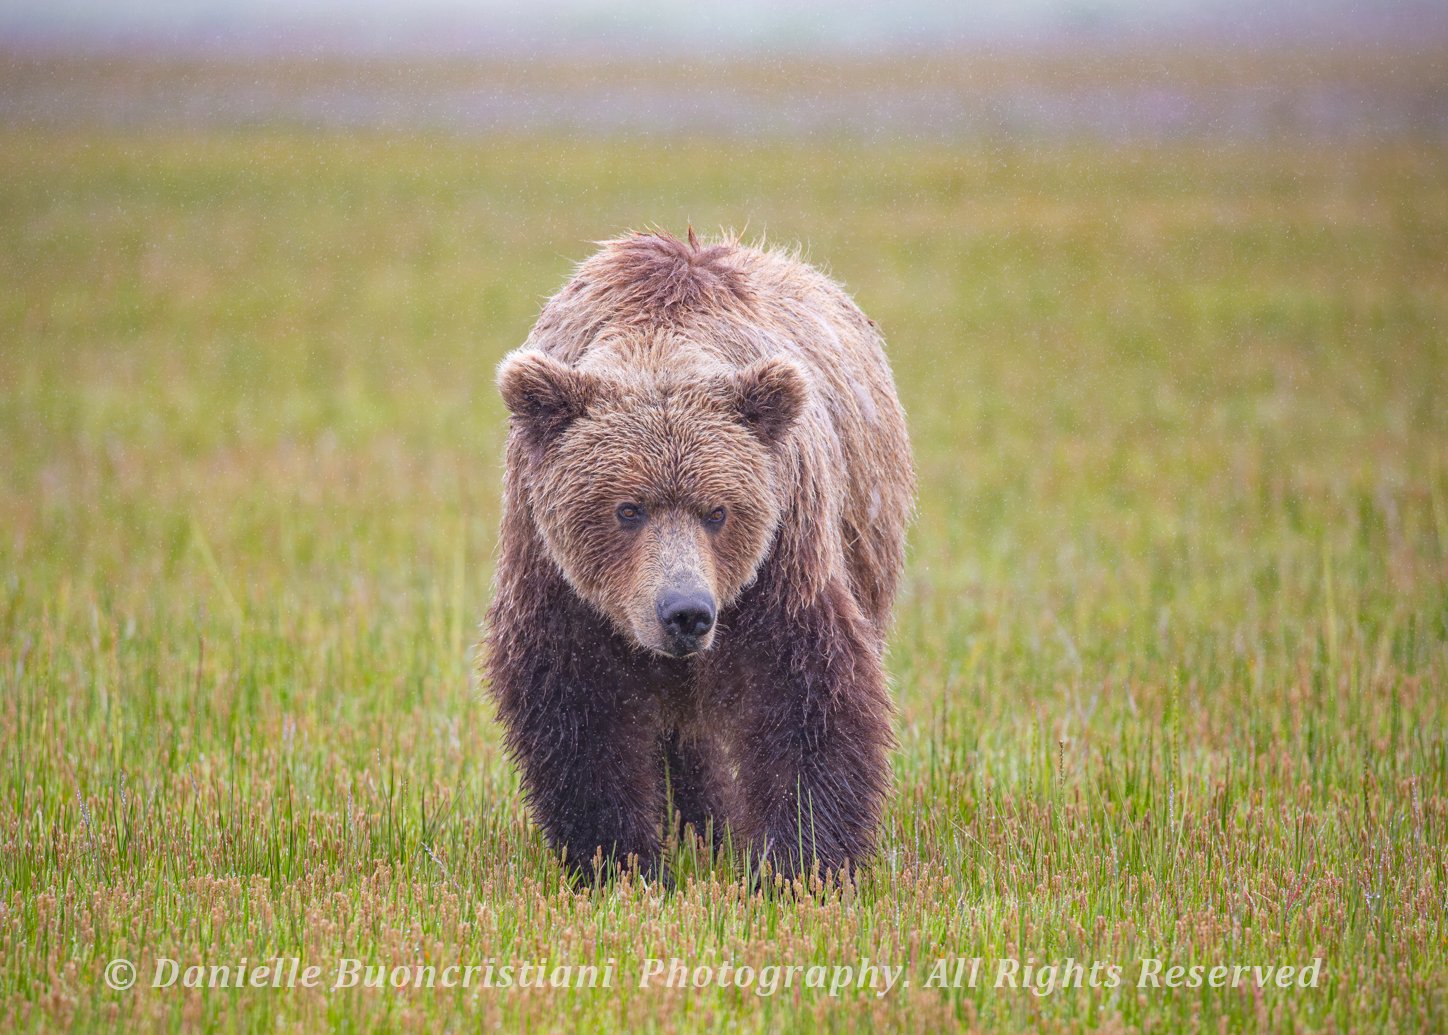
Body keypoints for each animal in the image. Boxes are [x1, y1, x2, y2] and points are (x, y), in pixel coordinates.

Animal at [484, 228, 914, 881]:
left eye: (718, 511)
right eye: (627, 508)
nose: (686, 612)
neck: (659, 339)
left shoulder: (782, 554)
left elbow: (807, 694)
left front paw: (796, 863)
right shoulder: (555, 571)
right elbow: (576, 705)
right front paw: (619, 859)